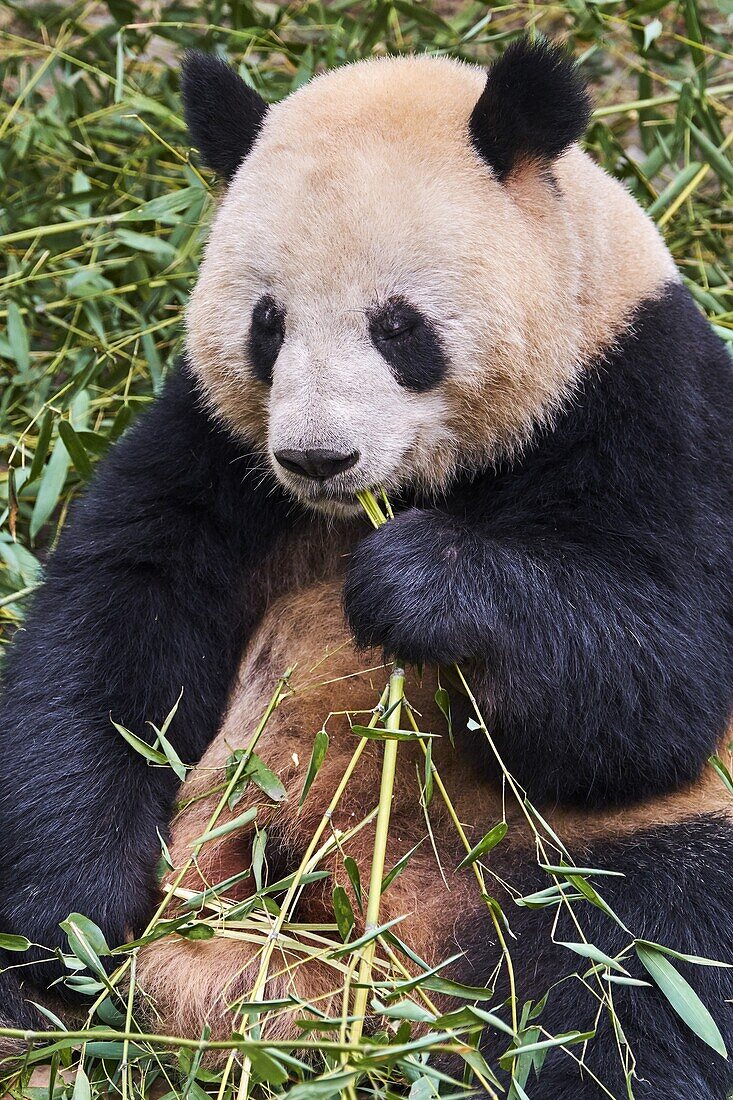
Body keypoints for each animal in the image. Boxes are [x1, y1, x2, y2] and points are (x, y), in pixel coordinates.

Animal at [1, 36, 730, 1100]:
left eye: (398, 327)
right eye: (267, 324)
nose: (318, 457)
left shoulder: (642, 393)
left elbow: (660, 674)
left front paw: (419, 587)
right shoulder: (216, 443)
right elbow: (116, 619)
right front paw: (72, 917)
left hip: (580, 858)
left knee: (640, 965)